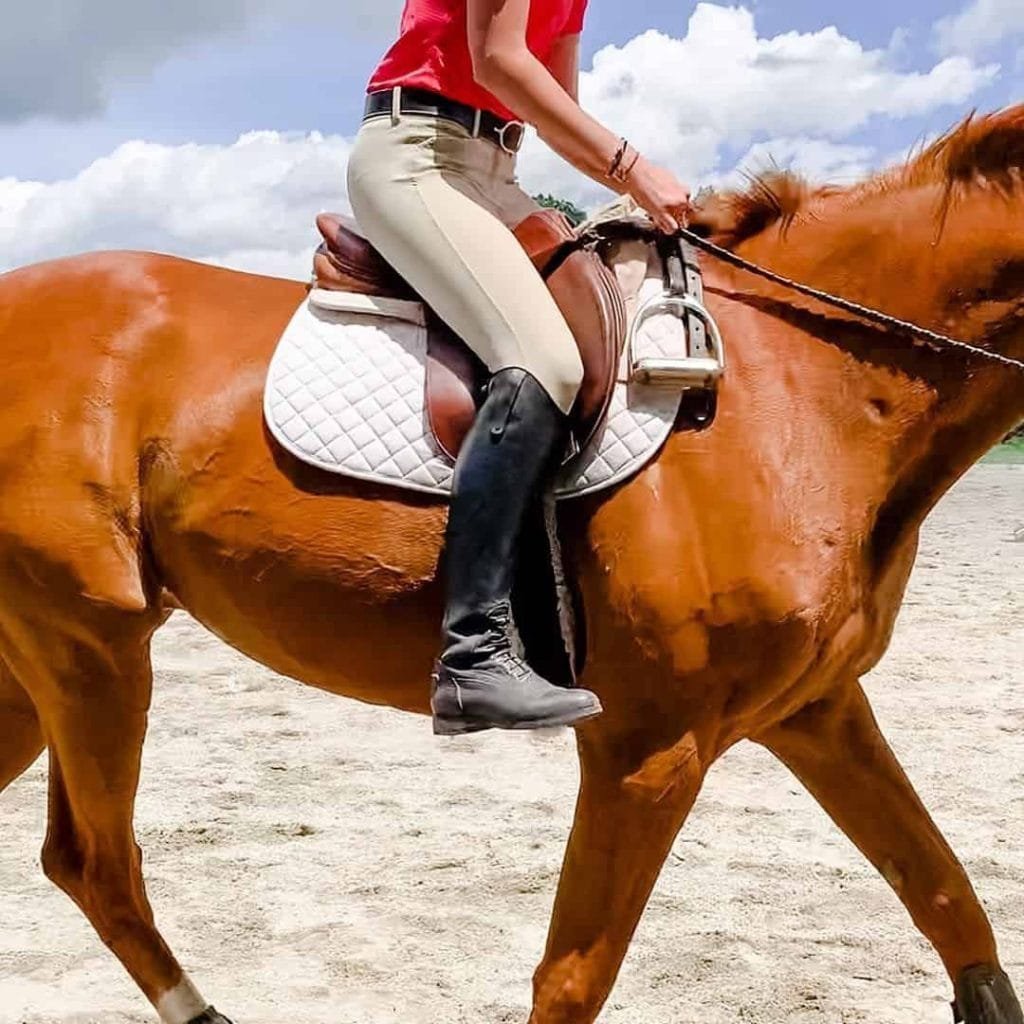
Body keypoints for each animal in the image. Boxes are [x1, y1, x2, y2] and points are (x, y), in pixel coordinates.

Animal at [0, 105, 1022, 1024]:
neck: (802, 387)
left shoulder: (818, 710)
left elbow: (950, 902)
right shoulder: (648, 746)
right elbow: (573, 980)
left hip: (44, 668)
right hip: (89, 649)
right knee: (96, 862)